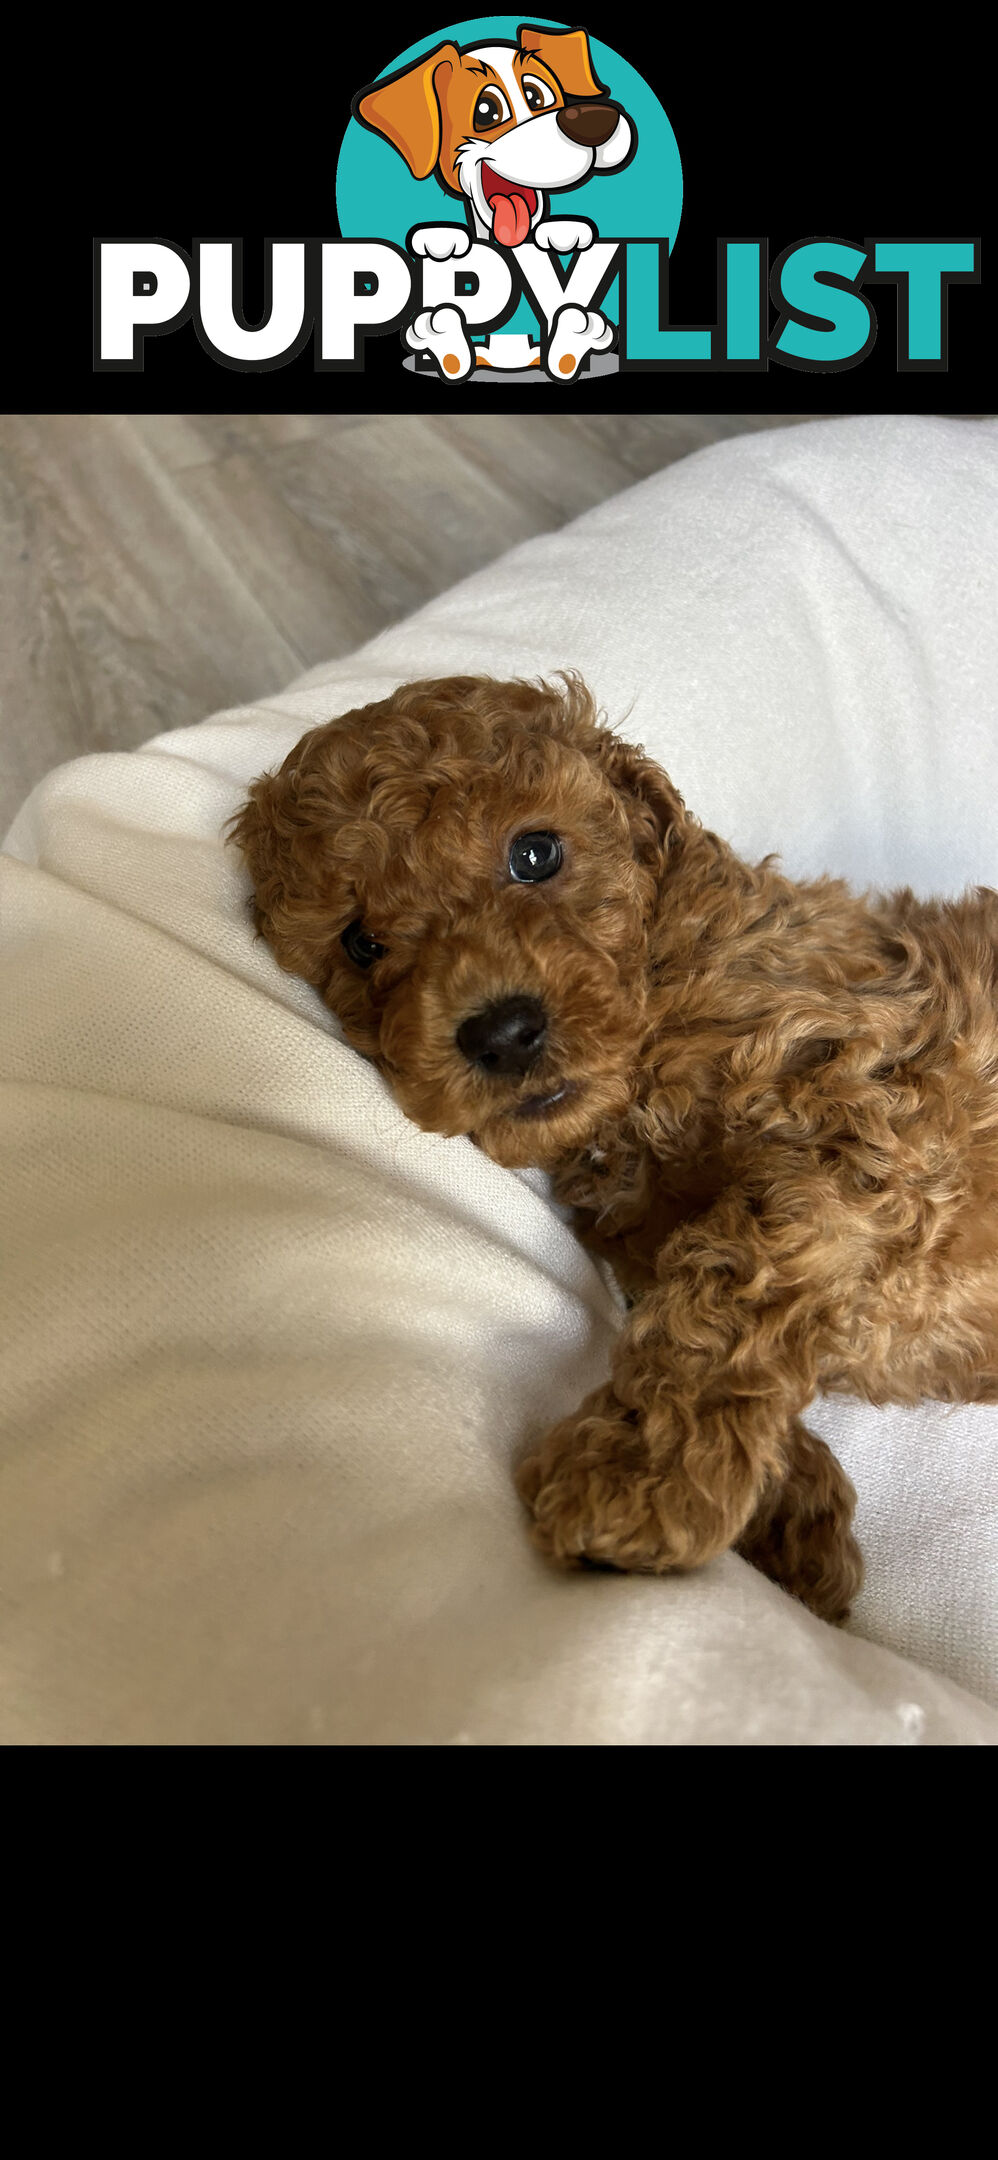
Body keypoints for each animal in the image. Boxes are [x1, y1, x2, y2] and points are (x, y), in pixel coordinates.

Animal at [230, 673, 998, 1624]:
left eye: (535, 855)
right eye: (360, 943)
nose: (501, 1033)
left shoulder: (868, 1102)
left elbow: (731, 1284)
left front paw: (632, 1481)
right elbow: (699, 1300)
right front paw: (798, 1523)